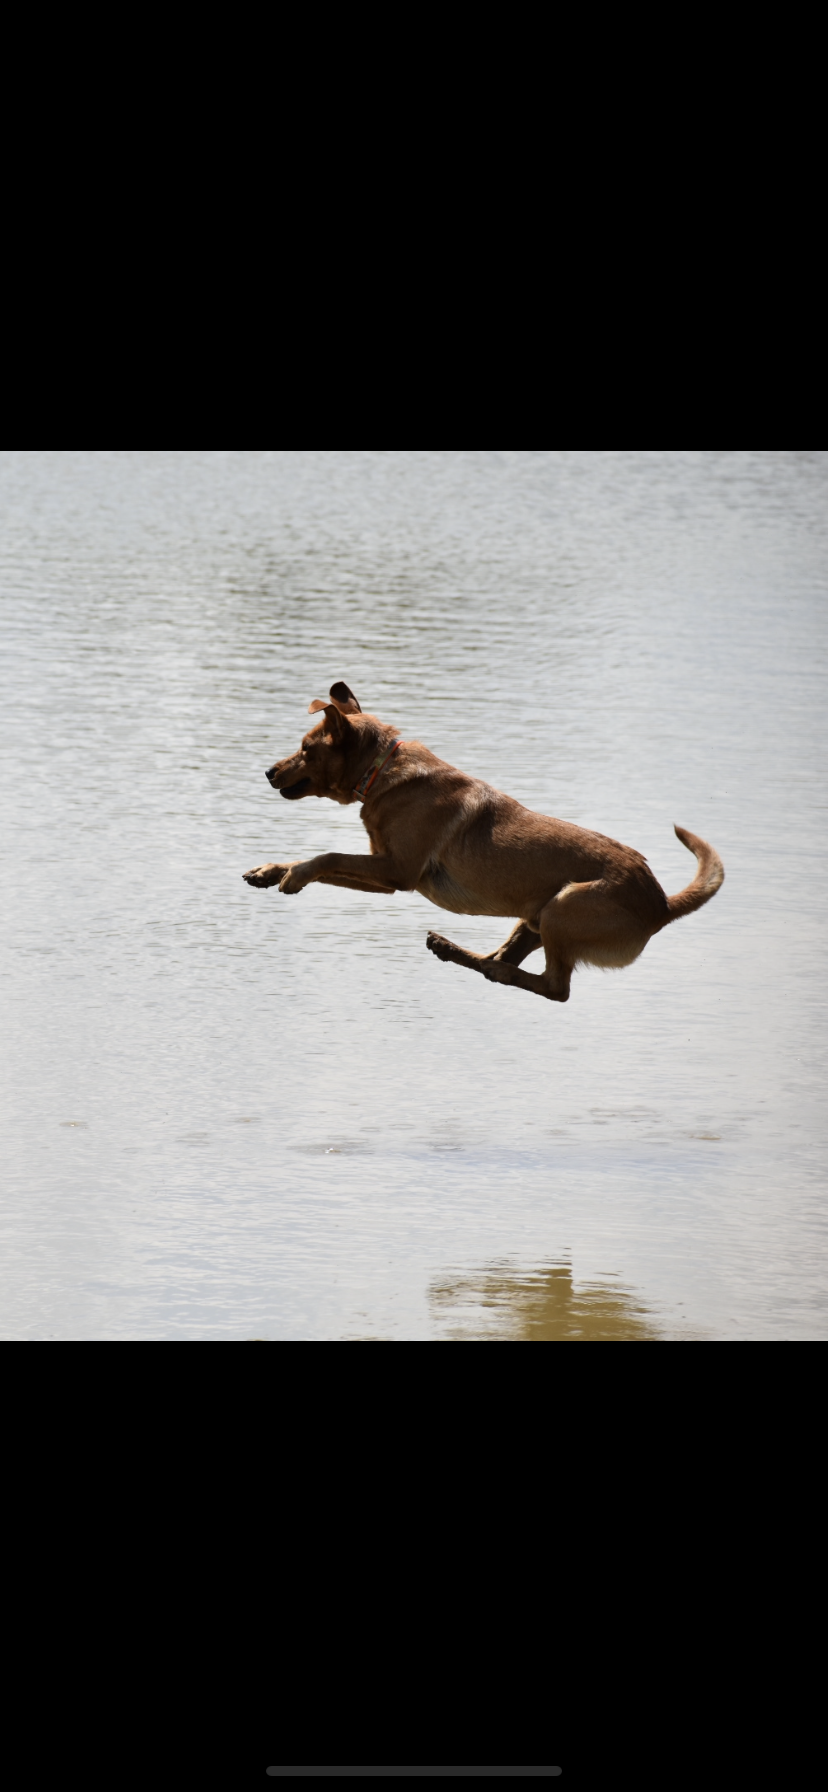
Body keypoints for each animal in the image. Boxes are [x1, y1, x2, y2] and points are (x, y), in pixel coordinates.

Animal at [241, 677, 720, 1003]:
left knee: (554, 986)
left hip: (565, 906)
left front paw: (293, 876)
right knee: (508, 960)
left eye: (306, 749)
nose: (267, 771)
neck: (380, 771)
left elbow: (328, 855)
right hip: (535, 920)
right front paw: (271, 871)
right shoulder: (389, 875)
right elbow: (327, 862)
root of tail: (660, 902)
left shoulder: (396, 871)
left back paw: (480, 964)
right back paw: (455, 951)